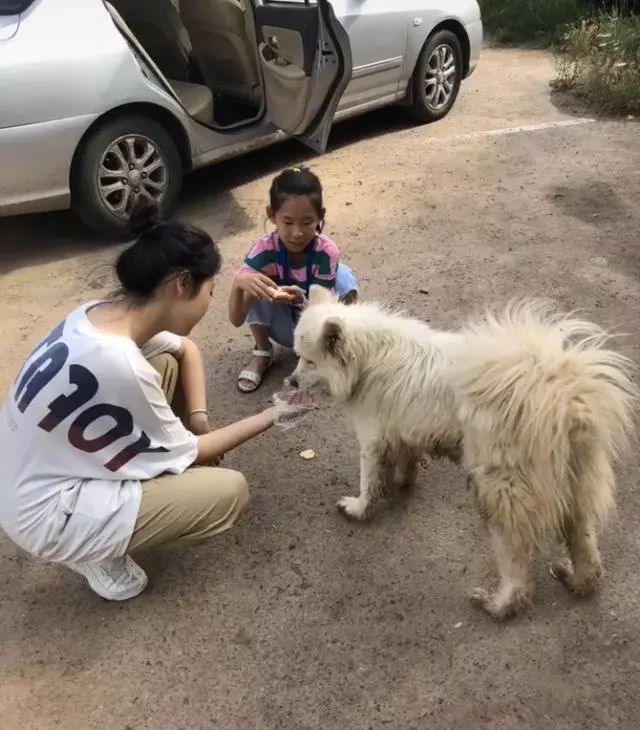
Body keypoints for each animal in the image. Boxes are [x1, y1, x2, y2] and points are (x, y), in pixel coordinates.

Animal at [292, 288, 636, 616]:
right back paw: (577, 580)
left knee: (519, 575)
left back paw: (498, 605)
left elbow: (369, 483)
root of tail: (565, 396)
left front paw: (358, 508)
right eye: (298, 358)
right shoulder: (402, 431)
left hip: (500, 494)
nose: (291, 381)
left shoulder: (372, 439)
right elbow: (404, 463)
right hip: (575, 487)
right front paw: (403, 483)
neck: (367, 357)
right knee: (586, 548)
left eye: (309, 362)